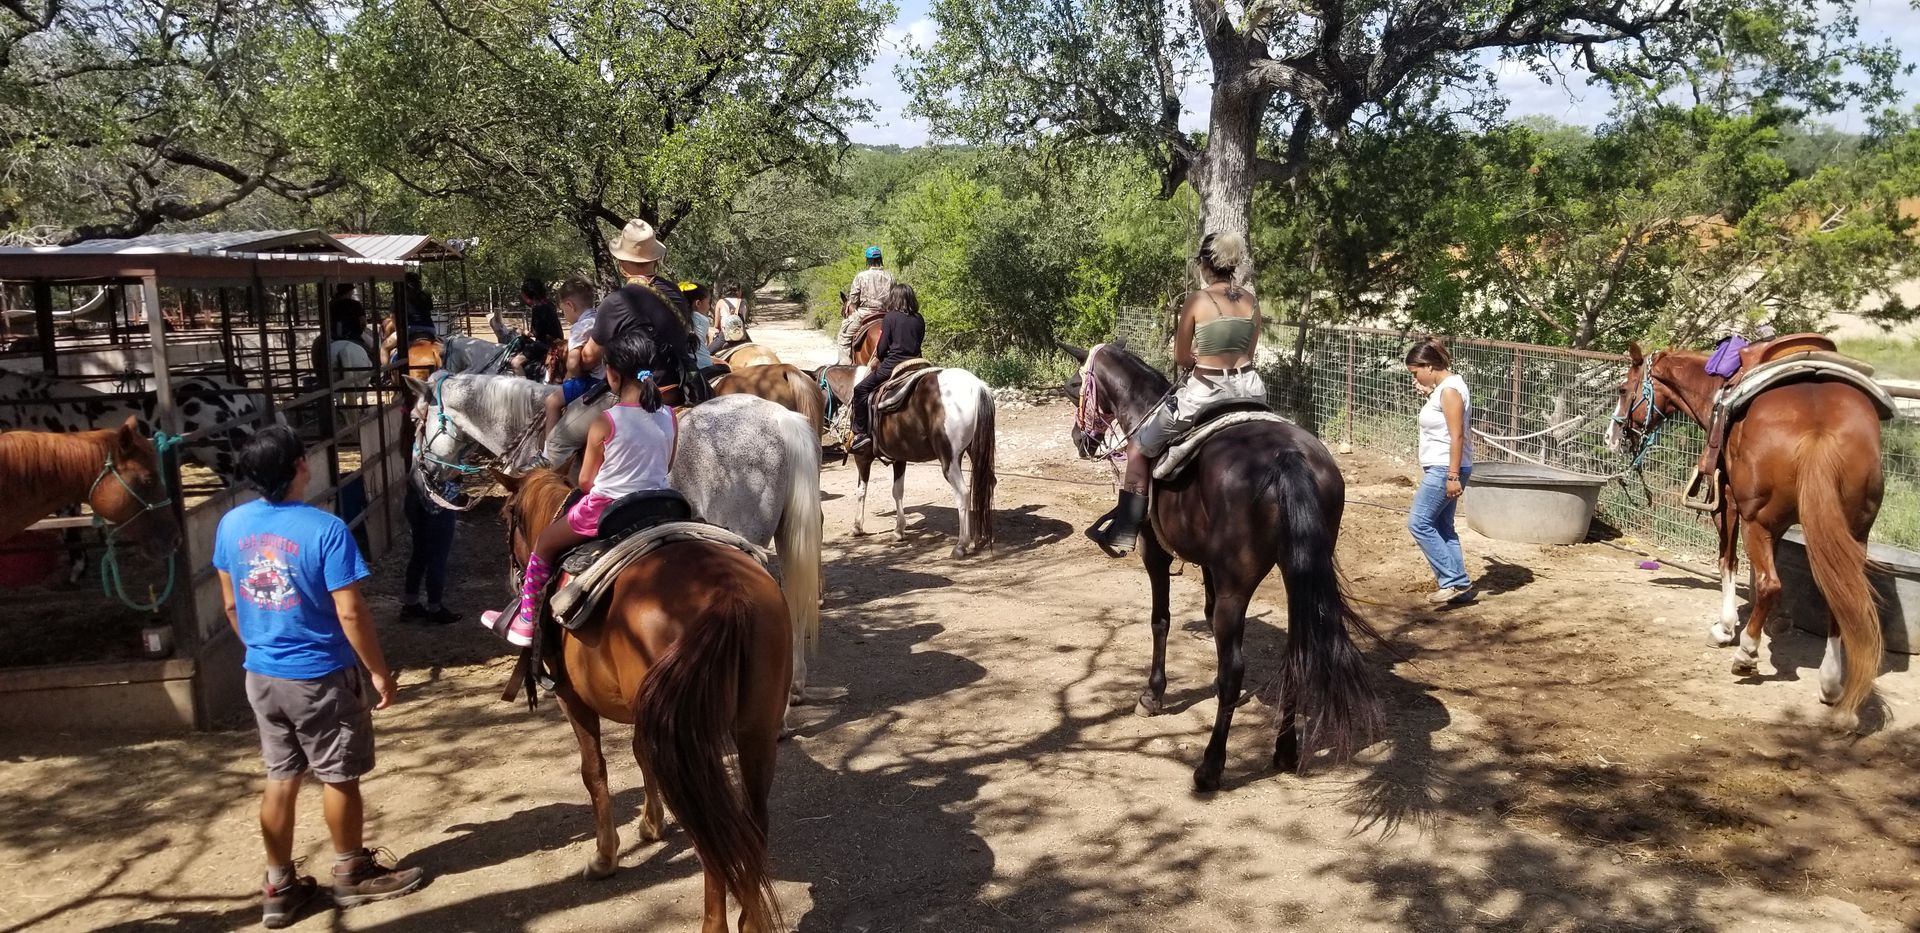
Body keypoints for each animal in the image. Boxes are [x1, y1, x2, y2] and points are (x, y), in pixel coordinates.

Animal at [496, 469, 789, 932]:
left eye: (506, 516)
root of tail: (729, 594)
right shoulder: (646, 715)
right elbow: (639, 755)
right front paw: (651, 824)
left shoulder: (571, 700)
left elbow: (593, 771)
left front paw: (605, 856)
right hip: (755, 730)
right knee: (751, 820)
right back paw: (751, 919)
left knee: (709, 834)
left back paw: (715, 922)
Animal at [850, 365, 996, 558]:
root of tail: (977, 387)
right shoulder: (899, 458)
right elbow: (897, 491)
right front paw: (899, 531)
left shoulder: (862, 457)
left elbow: (861, 491)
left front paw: (857, 526)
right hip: (976, 452)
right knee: (985, 485)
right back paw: (981, 537)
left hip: (950, 460)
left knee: (964, 494)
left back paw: (961, 545)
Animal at [1061, 342, 1382, 790]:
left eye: (1076, 386)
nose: (1080, 441)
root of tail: (1289, 457)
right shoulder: (1209, 566)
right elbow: (1209, 615)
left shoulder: (1155, 554)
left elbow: (1161, 620)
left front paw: (1152, 695)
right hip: (1295, 575)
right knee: (1295, 656)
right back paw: (1285, 751)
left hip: (1237, 583)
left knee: (1235, 669)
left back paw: (1210, 767)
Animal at [1608, 342, 1885, 728]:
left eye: (1622, 390)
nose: (1611, 437)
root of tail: (1820, 428)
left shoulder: (1728, 504)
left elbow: (1728, 561)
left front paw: (1725, 629)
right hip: (1855, 531)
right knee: (1841, 598)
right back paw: (1831, 684)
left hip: (1758, 522)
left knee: (1771, 584)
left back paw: (1746, 654)